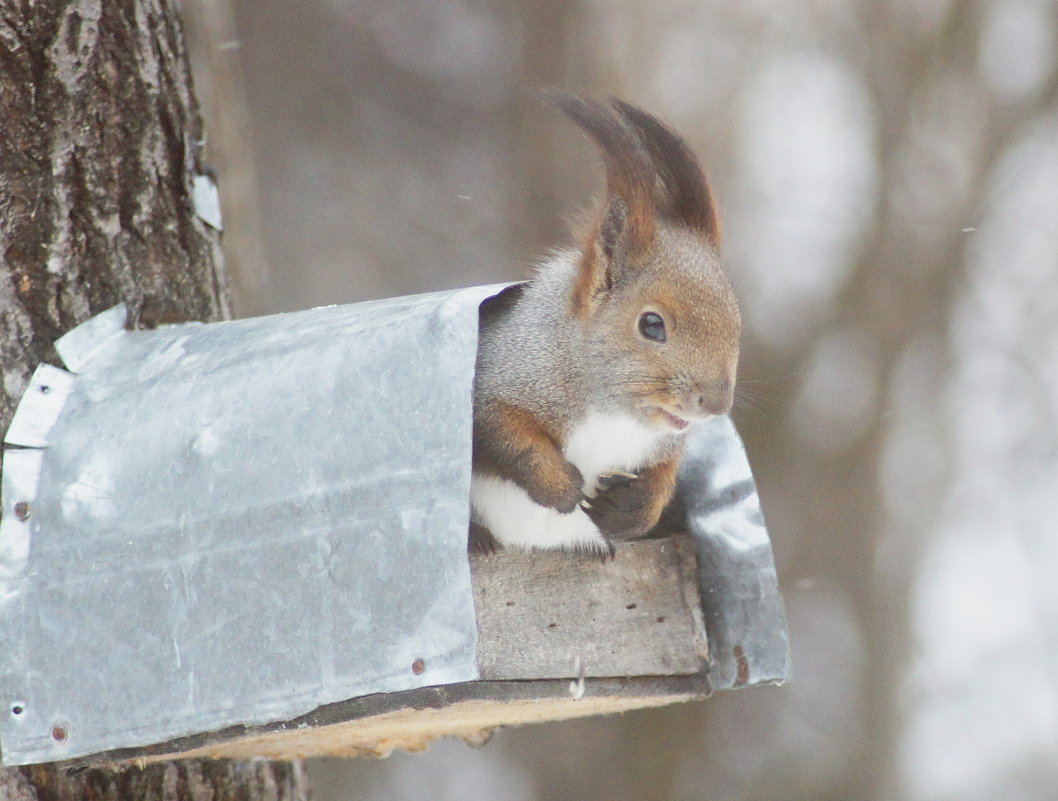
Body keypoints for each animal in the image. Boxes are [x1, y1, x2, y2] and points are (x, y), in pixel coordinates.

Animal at [467, 93, 740, 554]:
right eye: (651, 325)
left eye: (737, 322)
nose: (716, 405)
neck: (615, 415)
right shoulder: (500, 371)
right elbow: (503, 427)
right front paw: (559, 486)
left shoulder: (664, 444)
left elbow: (665, 472)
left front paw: (634, 509)